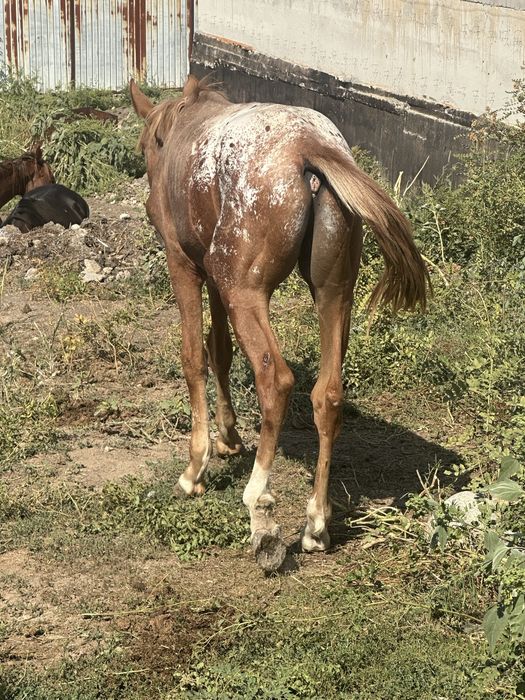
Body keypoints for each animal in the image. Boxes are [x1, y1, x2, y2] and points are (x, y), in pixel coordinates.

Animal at [130, 75, 430, 572]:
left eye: (144, 149)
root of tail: (308, 148)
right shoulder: (216, 277)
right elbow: (220, 349)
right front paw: (229, 437)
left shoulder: (186, 266)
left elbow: (194, 357)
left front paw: (196, 467)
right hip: (332, 293)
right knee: (328, 394)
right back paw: (316, 524)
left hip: (247, 292)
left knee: (276, 379)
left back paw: (262, 514)